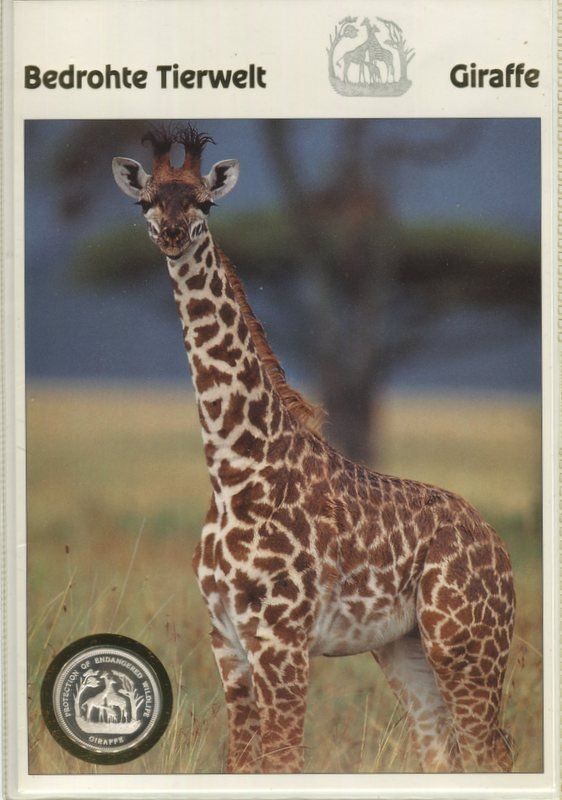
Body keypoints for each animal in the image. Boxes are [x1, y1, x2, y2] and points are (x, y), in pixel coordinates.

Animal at [112, 123, 515, 775]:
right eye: (146, 201)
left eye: (204, 203)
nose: (171, 236)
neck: (233, 471)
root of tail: (498, 546)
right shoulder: (226, 643)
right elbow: (242, 765)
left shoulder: (283, 642)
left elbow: (283, 761)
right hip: (404, 649)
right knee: (443, 753)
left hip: (466, 644)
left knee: (490, 752)